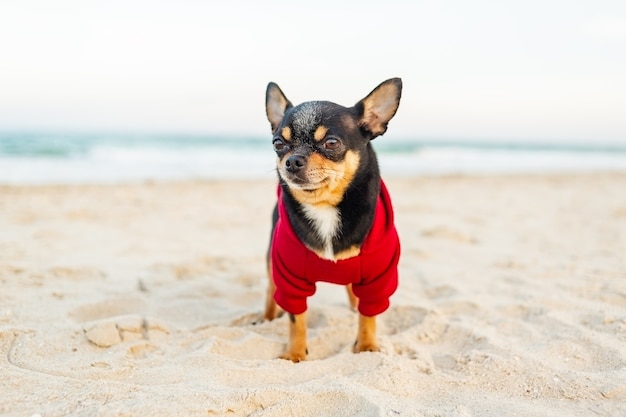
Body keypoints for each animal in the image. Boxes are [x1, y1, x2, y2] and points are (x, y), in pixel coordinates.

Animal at [262, 78, 400, 360]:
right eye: (278, 144)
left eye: (331, 143)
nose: (292, 161)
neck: (324, 206)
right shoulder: (290, 279)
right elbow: (296, 319)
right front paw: (294, 354)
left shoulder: (378, 280)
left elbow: (369, 315)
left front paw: (367, 346)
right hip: (271, 257)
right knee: (271, 289)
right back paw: (267, 317)